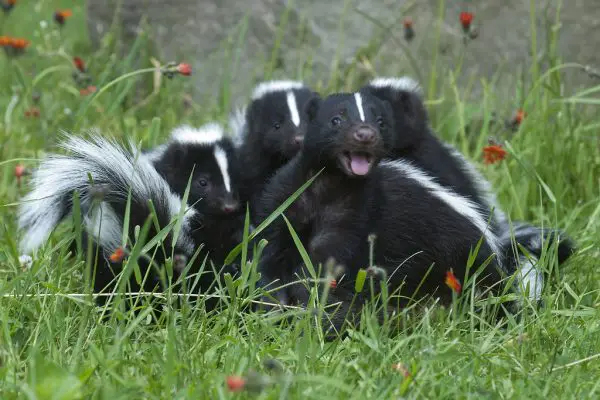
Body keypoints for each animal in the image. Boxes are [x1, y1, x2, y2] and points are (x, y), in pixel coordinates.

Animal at [253, 91, 506, 328]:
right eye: (336, 120)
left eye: (381, 122)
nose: (365, 134)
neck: (329, 183)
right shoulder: (286, 196)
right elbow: (271, 247)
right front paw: (273, 302)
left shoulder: (357, 209)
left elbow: (326, 257)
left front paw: (307, 300)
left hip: (450, 253)